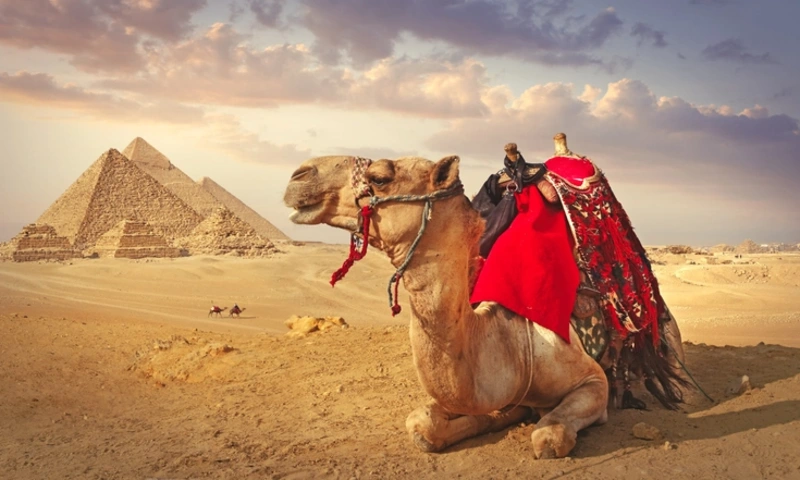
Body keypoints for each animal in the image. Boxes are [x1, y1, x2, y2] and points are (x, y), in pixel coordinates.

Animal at [282, 147, 686, 458]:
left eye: (380, 177)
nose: (299, 174)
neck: (508, 343)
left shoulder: (592, 381)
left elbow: (548, 435)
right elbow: (423, 423)